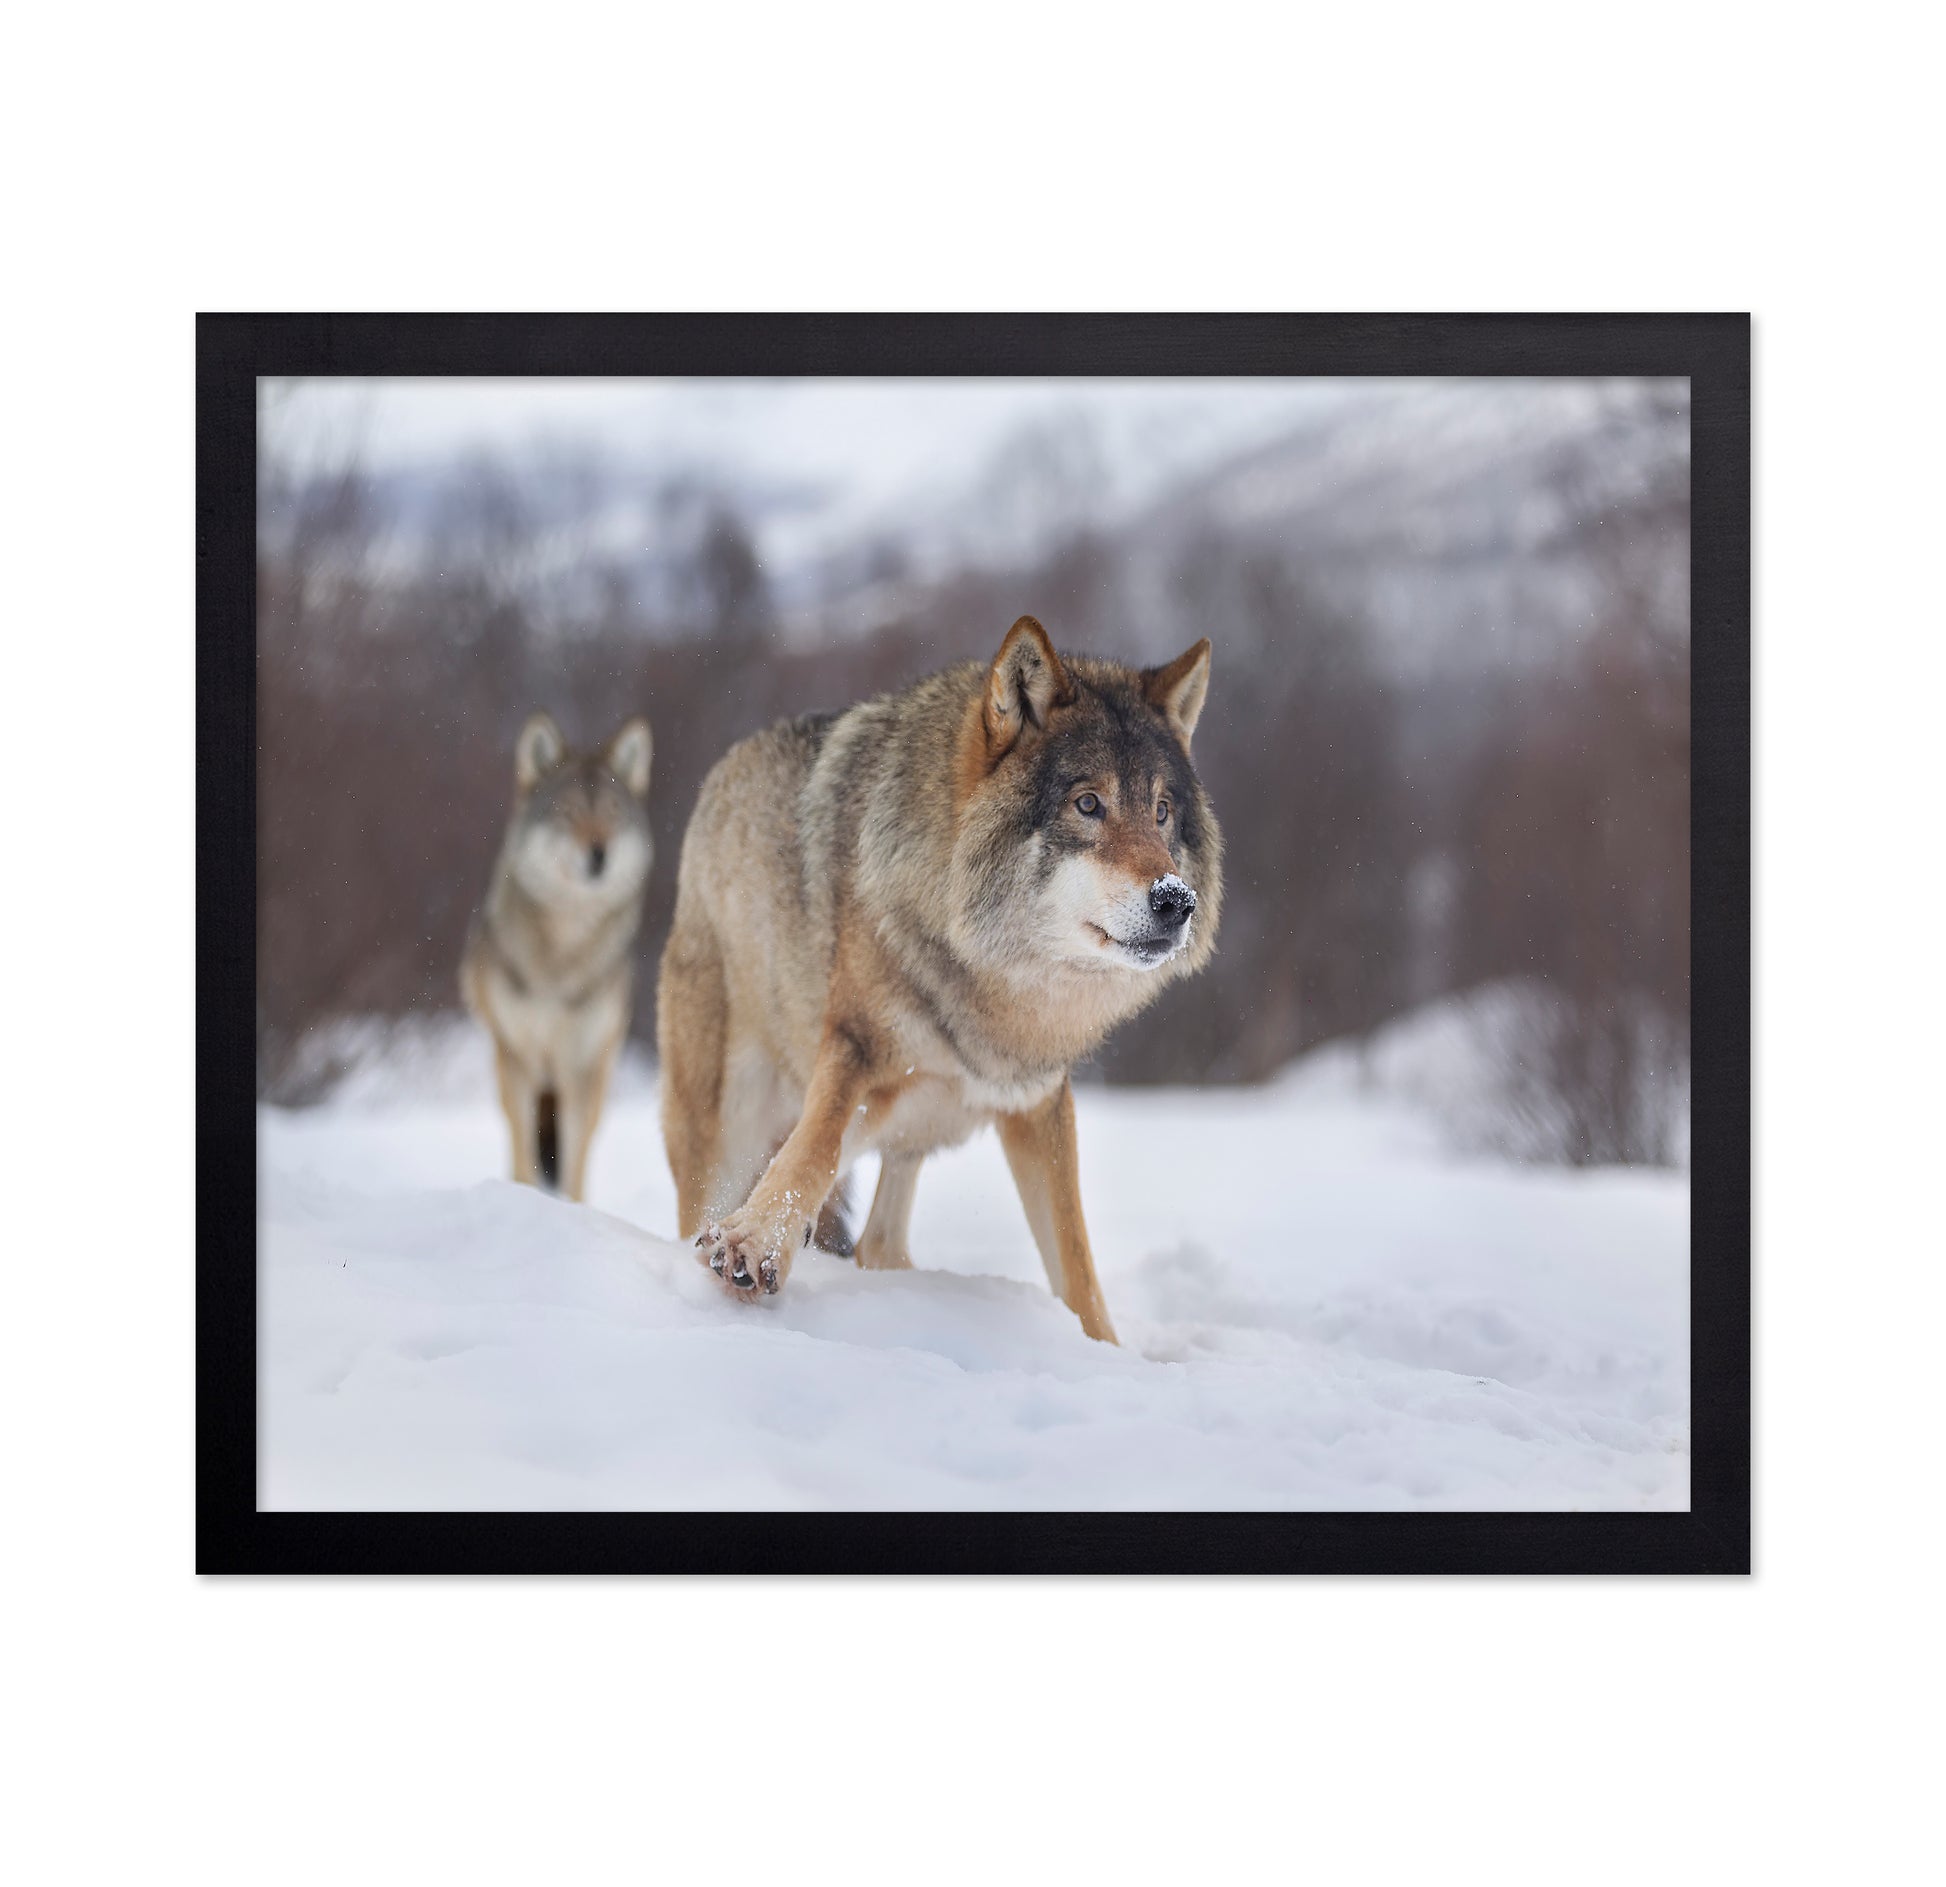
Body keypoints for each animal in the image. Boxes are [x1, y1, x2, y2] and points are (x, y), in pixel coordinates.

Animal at [461, 710, 654, 1201]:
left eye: (612, 814)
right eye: (568, 813)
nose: (599, 854)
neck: (561, 957)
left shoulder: (580, 1066)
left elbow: (574, 1164)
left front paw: (572, 1211)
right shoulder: (518, 1058)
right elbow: (524, 1152)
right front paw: (524, 1200)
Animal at [657, 616, 1220, 1342]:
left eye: (1161, 811)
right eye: (1089, 804)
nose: (1177, 901)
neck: (994, 980)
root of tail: (719, 780)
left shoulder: (1038, 1101)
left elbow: (1077, 1266)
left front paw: (1105, 1352)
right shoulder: (855, 1048)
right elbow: (813, 1149)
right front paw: (753, 1242)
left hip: (904, 1131)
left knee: (878, 1243)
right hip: (728, 1127)